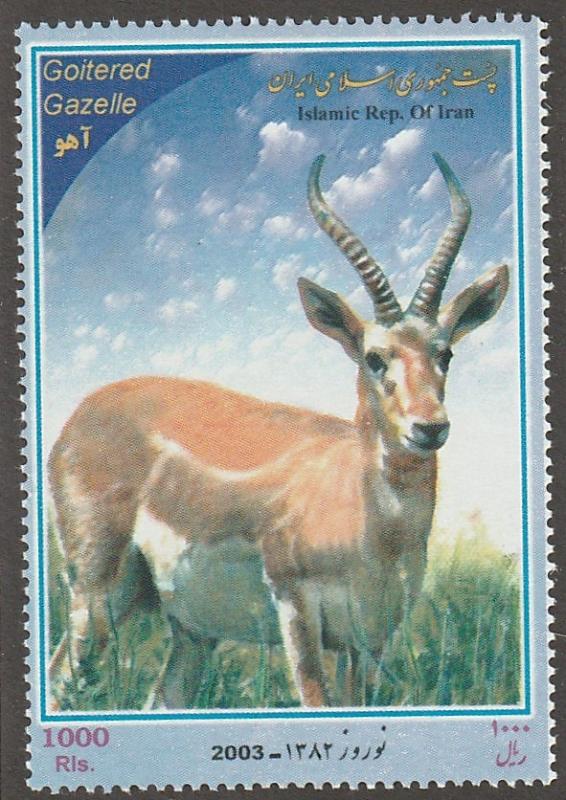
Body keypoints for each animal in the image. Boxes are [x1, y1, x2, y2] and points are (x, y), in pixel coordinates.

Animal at [48, 152, 509, 709]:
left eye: (445, 353)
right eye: (376, 357)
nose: (429, 427)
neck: (373, 525)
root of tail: (82, 412)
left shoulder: (370, 642)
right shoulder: (297, 610)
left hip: (192, 630)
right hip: (98, 598)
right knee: (59, 678)